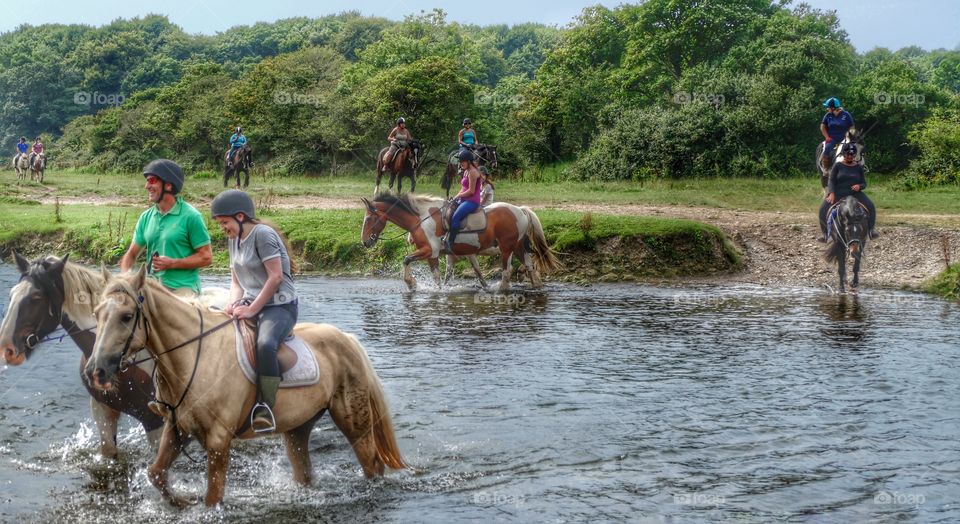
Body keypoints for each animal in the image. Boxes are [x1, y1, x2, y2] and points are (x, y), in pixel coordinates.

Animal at [83, 268, 408, 506]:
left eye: (126, 317)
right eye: (97, 313)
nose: (95, 371)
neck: (193, 355)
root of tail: (347, 339)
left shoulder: (217, 442)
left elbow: (213, 498)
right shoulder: (177, 430)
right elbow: (156, 474)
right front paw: (181, 502)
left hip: (354, 423)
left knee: (372, 465)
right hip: (297, 428)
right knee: (303, 468)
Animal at [360, 193, 560, 292]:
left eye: (369, 219)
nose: (365, 242)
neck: (421, 218)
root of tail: (520, 210)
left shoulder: (429, 250)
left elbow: (407, 259)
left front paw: (411, 283)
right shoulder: (445, 254)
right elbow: (442, 276)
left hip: (506, 248)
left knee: (507, 271)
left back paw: (502, 289)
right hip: (518, 246)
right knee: (530, 266)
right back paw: (536, 286)